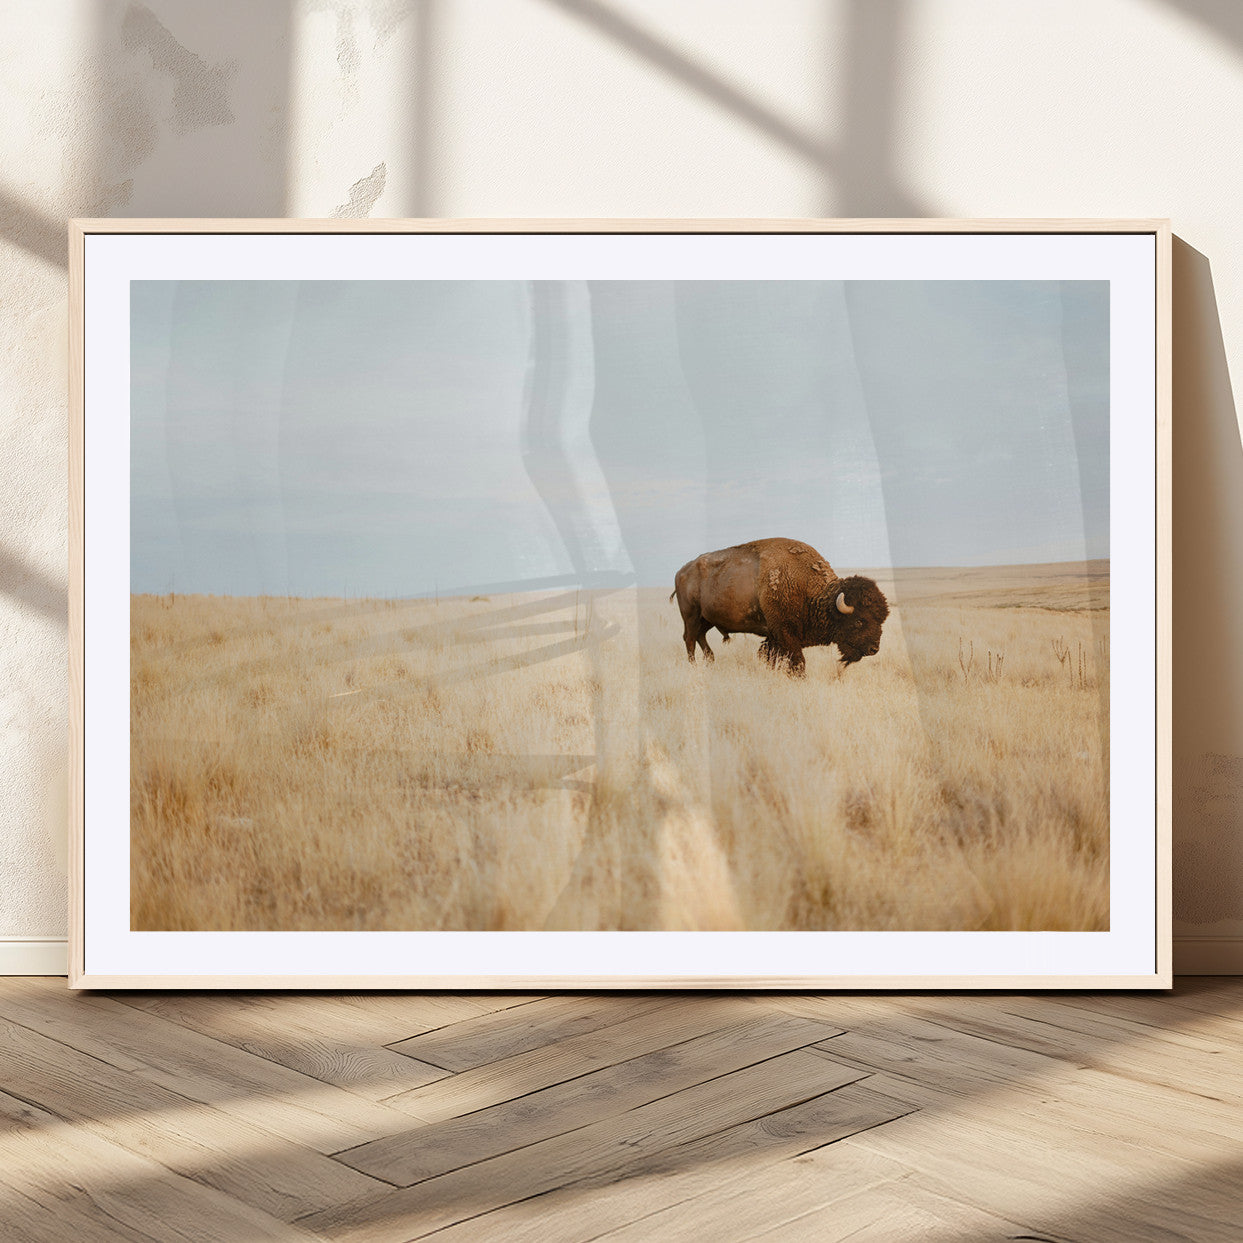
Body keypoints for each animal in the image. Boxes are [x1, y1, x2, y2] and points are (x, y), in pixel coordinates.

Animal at [671, 538, 889, 675]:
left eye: (881, 620)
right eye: (859, 620)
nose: (874, 648)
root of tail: (681, 571)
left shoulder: (775, 637)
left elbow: (771, 658)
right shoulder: (785, 633)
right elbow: (797, 661)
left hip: (706, 619)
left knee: (700, 637)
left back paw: (710, 661)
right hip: (691, 615)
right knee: (690, 639)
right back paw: (694, 666)